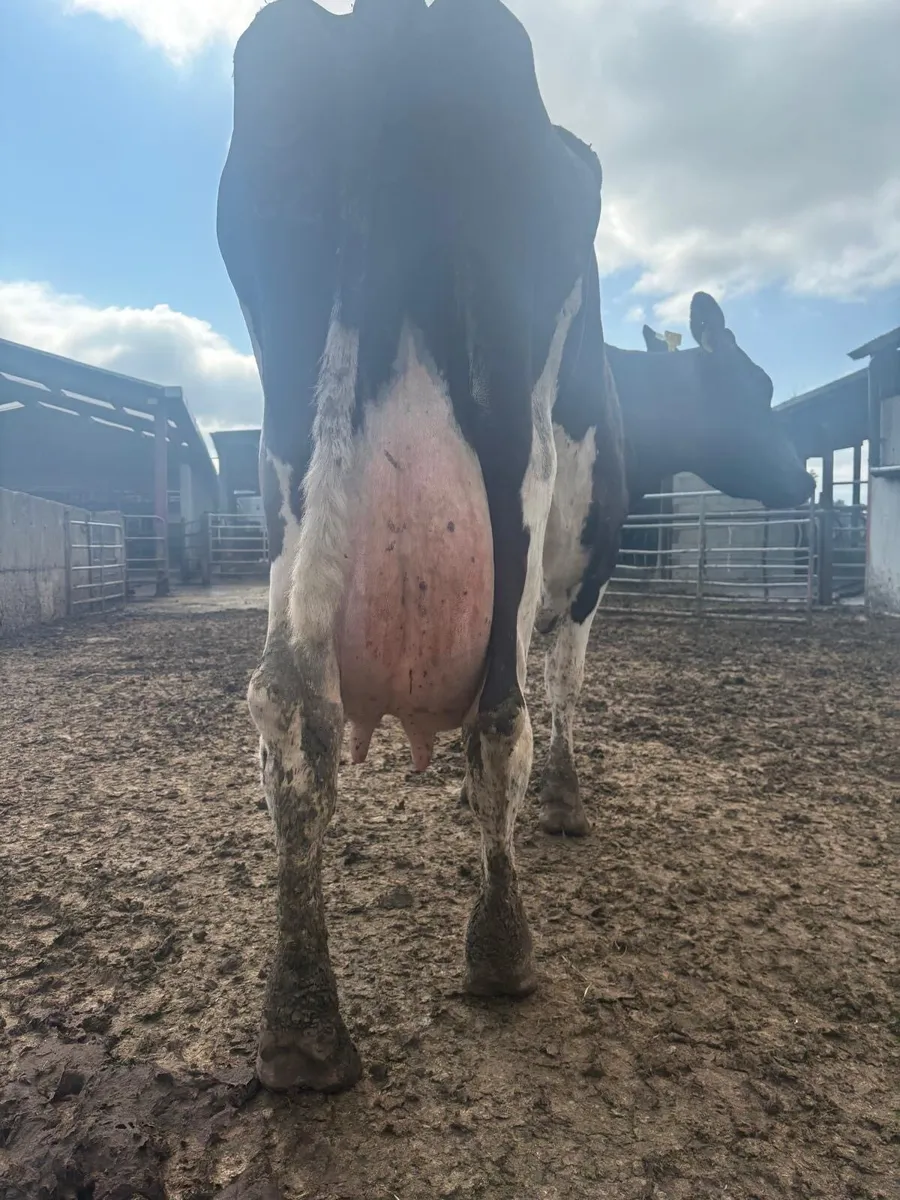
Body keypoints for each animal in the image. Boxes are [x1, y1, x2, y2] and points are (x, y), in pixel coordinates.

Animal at [217, 0, 627, 1092]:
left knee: (291, 705)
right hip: (517, 457)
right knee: (500, 710)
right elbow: (564, 684)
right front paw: (564, 803)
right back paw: (502, 951)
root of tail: (389, 25)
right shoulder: (584, 577)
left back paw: (302, 1026)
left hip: (295, 441)